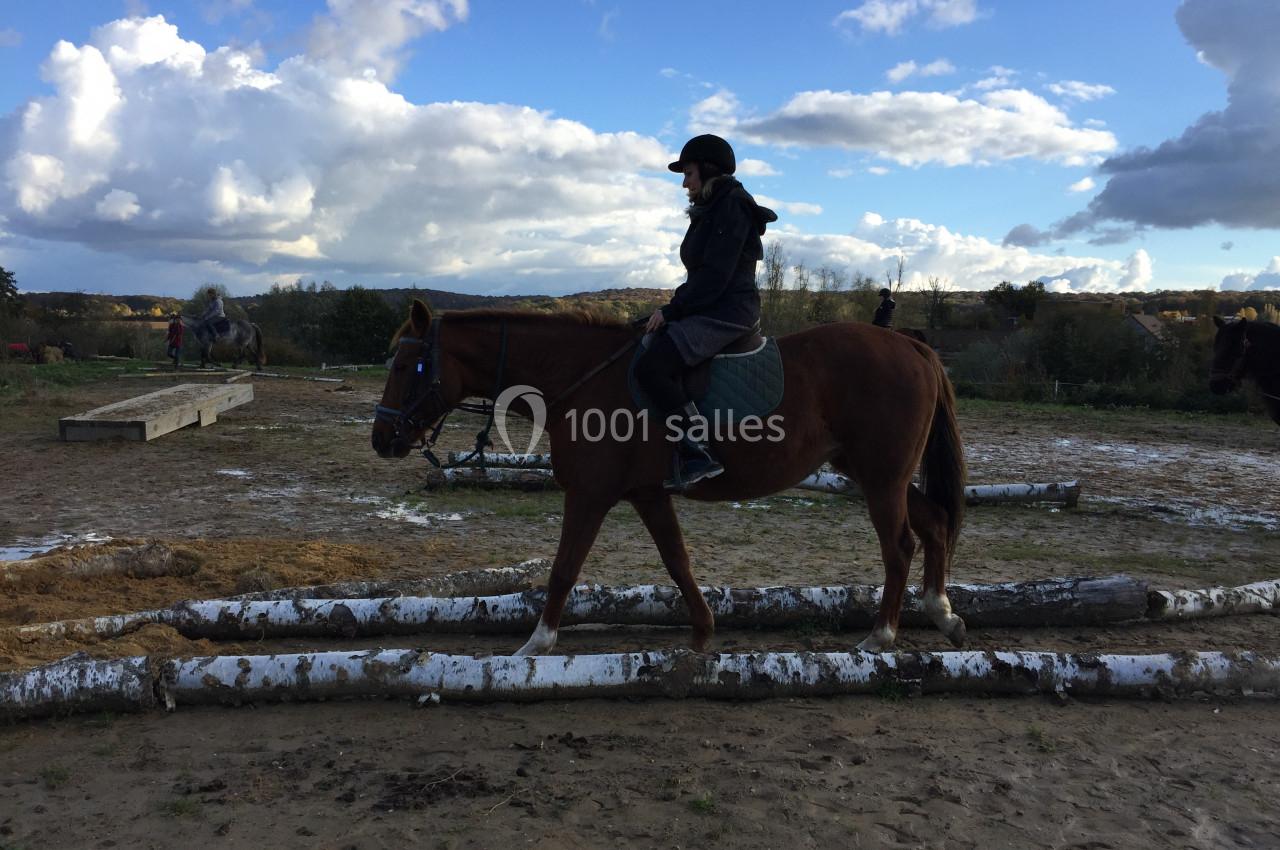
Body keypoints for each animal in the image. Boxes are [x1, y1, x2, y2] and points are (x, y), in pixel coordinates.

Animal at [372, 300, 967, 655]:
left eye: (404, 366)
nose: (382, 440)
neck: (580, 378)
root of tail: (913, 345)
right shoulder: (647, 494)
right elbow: (677, 562)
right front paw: (703, 633)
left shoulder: (590, 495)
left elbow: (564, 570)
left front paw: (535, 645)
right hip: (873, 474)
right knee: (935, 524)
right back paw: (942, 614)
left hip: (881, 478)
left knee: (900, 545)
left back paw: (881, 635)